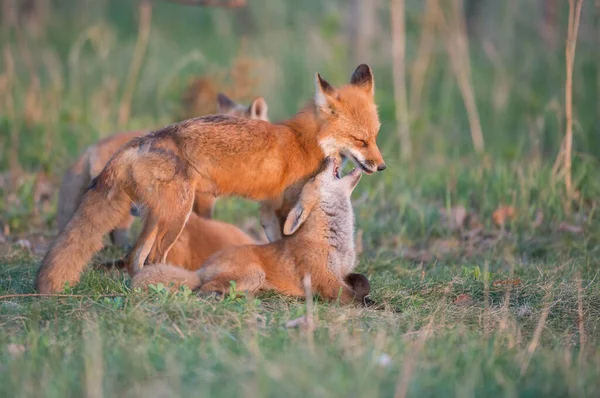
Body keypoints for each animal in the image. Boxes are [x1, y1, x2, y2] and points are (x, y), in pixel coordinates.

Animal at [132, 159, 370, 304]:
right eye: (313, 178)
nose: (328, 159)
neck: (337, 243)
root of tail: (203, 266)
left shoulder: (343, 272)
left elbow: (363, 281)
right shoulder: (326, 280)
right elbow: (354, 297)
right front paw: (370, 303)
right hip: (253, 273)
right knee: (203, 288)